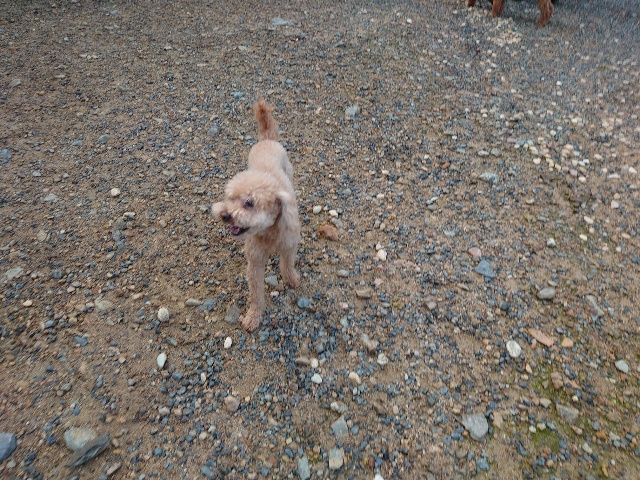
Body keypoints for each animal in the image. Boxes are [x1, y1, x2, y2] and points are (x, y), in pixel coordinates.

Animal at [212, 100, 301, 332]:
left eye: (249, 203)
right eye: (230, 198)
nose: (224, 215)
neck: (270, 232)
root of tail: (267, 139)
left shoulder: (289, 246)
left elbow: (288, 265)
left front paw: (292, 280)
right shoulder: (255, 261)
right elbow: (256, 294)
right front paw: (253, 317)